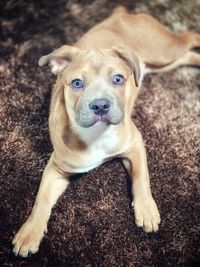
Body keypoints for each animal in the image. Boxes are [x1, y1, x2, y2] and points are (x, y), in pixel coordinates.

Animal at [12, 5, 200, 258]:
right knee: (188, 55)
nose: (101, 105)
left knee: (189, 38)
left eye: (118, 79)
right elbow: (41, 199)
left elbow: (141, 177)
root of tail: (121, 14)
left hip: (163, 50)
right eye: (77, 83)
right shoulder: (56, 169)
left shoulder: (134, 144)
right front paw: (29, 232)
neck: (96, 135)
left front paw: (146, 210)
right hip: (162, 63)